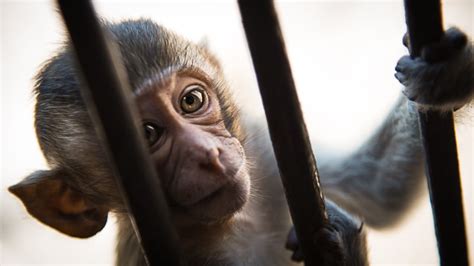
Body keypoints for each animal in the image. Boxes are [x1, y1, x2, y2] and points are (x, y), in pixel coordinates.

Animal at [8, 19, 474, 266]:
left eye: (191, 100)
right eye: (148, 134)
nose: (209, 154)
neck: (234, 224)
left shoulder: (262, 150)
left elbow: (379, 192)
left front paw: (450, 74)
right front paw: (338, 250)